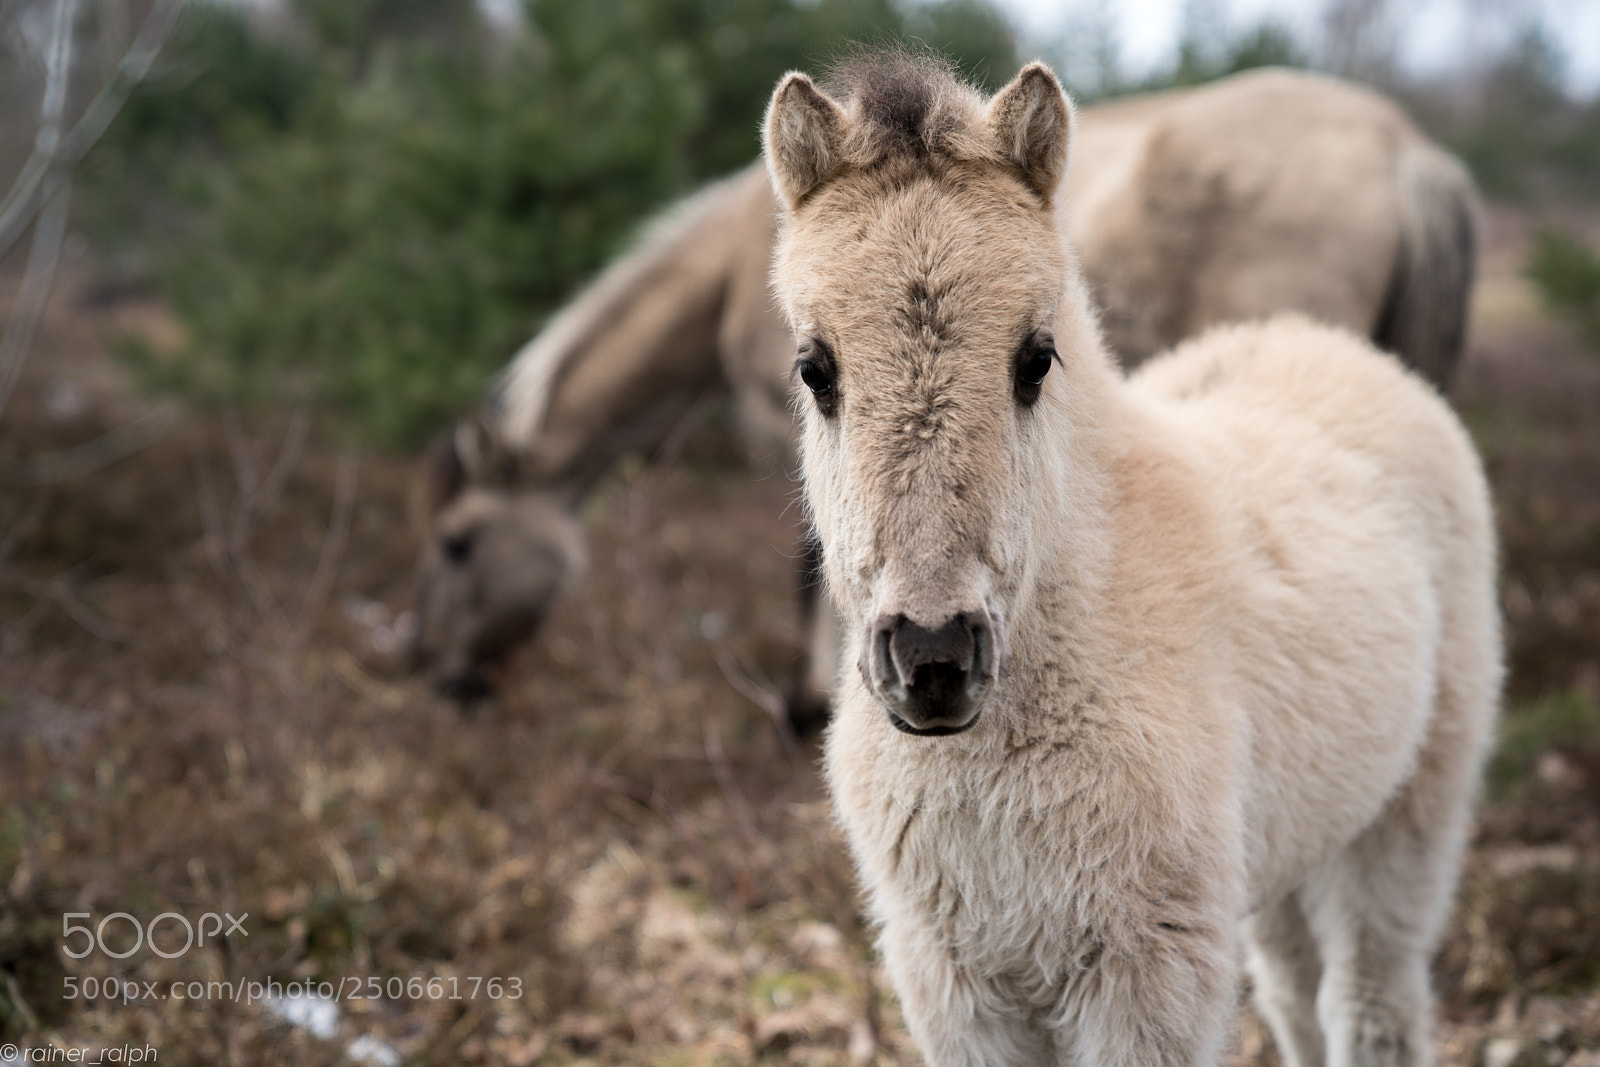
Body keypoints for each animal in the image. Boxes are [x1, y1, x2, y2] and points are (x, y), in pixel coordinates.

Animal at [409, 66, 1481, 720]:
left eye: (456, 542)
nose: (433, 672)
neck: (737, 260)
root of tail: (1406, 150)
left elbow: (814, 566)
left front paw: (808, 705)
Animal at [763, 54, 1500, 1066]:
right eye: (815, 367)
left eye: (1035, 359)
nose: (934, 658)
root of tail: (1346, 354)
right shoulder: (957, 986)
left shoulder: (1147, 974)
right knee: (1296, 994)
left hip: (1406, 820)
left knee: (1370, 1001)